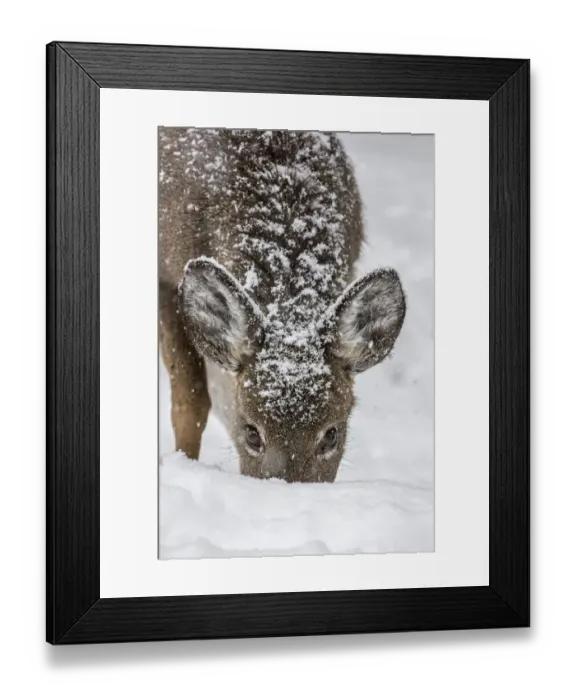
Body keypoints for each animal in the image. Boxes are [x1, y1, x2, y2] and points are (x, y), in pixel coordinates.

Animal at [159, 128, 406, 483]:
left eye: (331, 434)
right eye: (252, 433)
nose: (285, 488)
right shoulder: (165, 274)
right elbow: (190, 403)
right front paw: (182, 465)